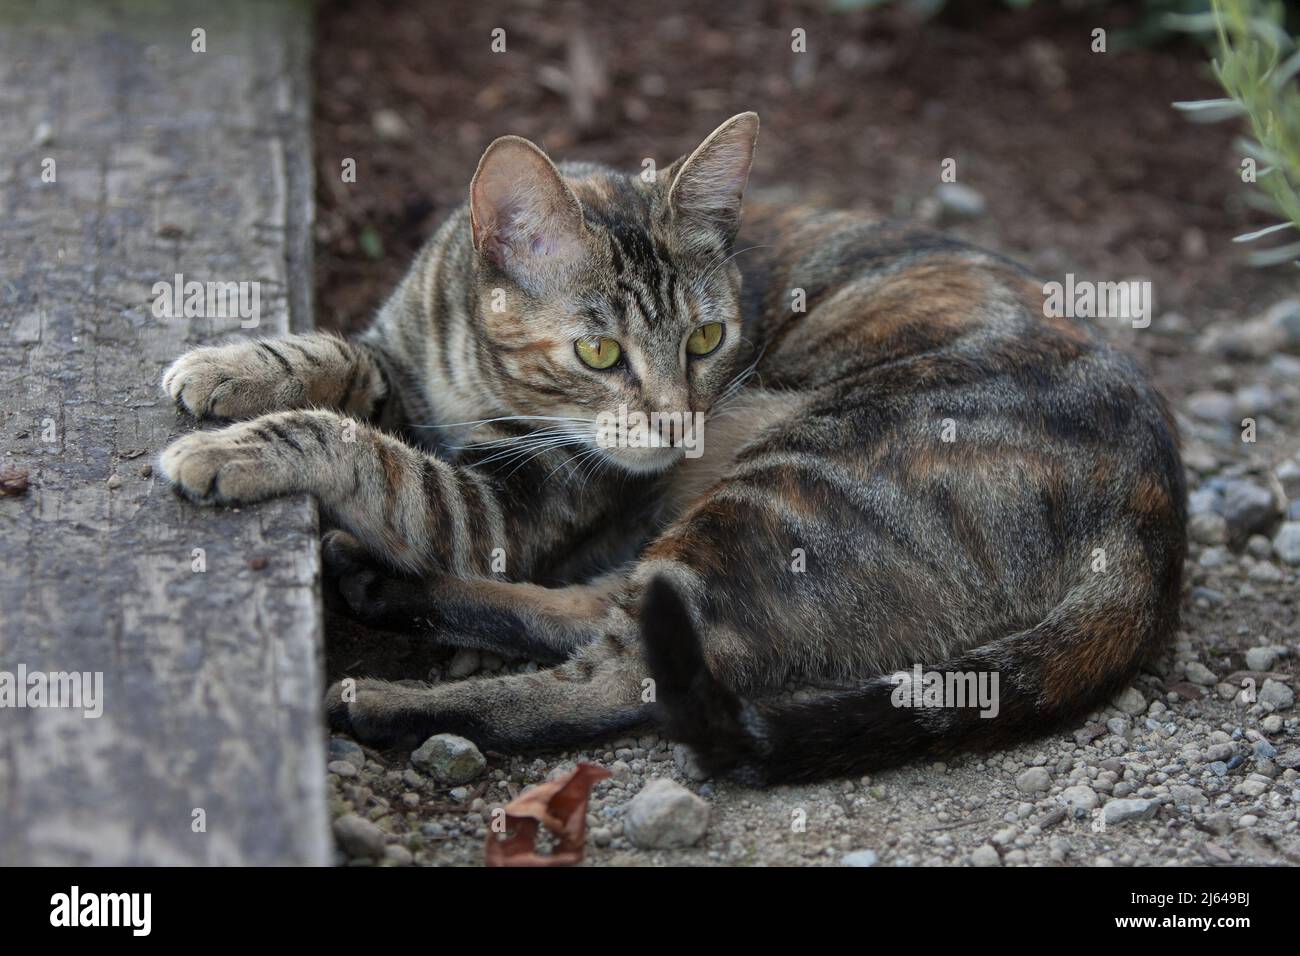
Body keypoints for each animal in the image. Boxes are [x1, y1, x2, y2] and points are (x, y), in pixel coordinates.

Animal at [157, 111, 1185, 785]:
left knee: (623, 672)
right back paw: (377, 584)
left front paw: (231, 450)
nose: (676, 423)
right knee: (609, 609)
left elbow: (363, 451)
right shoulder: (401, 368)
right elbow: (331, 357)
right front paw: (224, 366)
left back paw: (392, 701)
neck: (472, 376)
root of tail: (1155, 523)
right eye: (600, 352)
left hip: (794, 484)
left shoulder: (499, 509)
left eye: (706, 338)